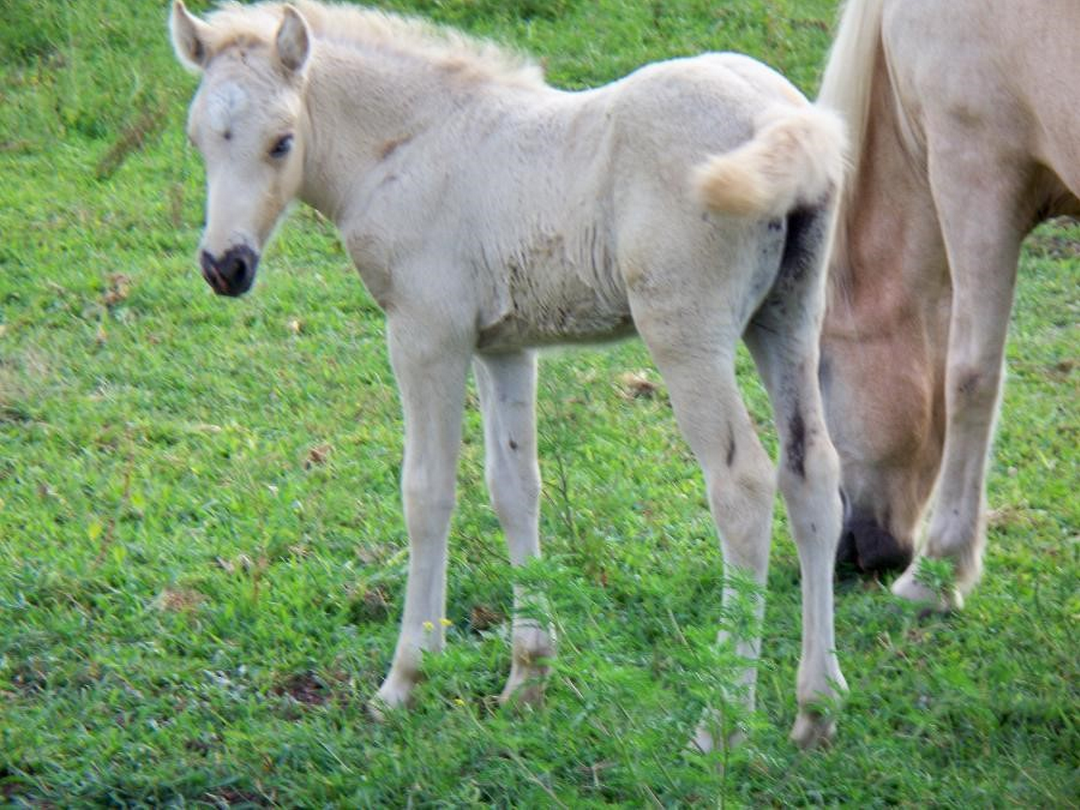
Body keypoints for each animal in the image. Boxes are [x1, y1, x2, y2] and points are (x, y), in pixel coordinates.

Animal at [172, 0, 851, 747]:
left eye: (282, 142)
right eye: (198, 140)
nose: (224, 266)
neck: (408, 146)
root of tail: (782, 118)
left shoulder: (426, 334)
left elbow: (427, 492)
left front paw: (405, 679)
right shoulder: (503, 345)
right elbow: (514, 488)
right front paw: (528, 677)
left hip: (687, 334)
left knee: (743, 487)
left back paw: (722, 721)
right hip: (789, 318)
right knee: (812, 472)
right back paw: (816, 708)